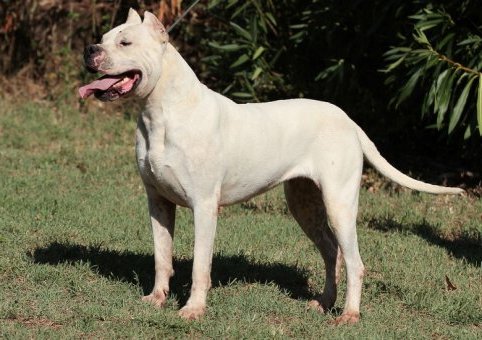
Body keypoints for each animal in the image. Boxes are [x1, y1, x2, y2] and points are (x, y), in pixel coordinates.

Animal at [79, 9, 464, 324]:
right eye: (104, 38)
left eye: (125, 42)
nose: (90, 50)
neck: (162, 111)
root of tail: (349, 120)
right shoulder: (158, 203)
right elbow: (162, 256)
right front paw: (156, 299)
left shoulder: (204, 206)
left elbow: (201, 264)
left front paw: (193, 309)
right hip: (304, 204)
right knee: (332, 252)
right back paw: (324, 304)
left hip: (339, 203)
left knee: (355, 262)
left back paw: (349, 315)